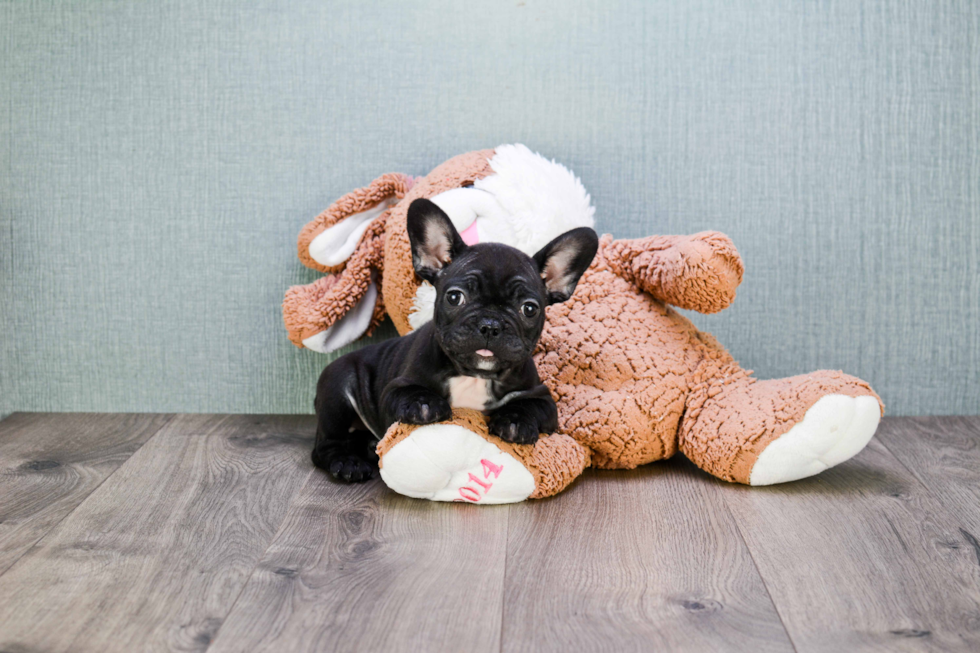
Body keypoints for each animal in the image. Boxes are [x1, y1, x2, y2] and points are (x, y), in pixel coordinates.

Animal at [312, 196, 596, 482]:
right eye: (454, 297)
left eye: (529, 309)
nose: (490, 325)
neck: (474, 376)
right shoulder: (394, 389)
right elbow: (409, 392)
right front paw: (425, 403)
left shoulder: (542, 398)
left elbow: (529, 406)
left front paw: (515, 421)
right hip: (338, 390)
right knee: (326, 445)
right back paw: (348, 463)